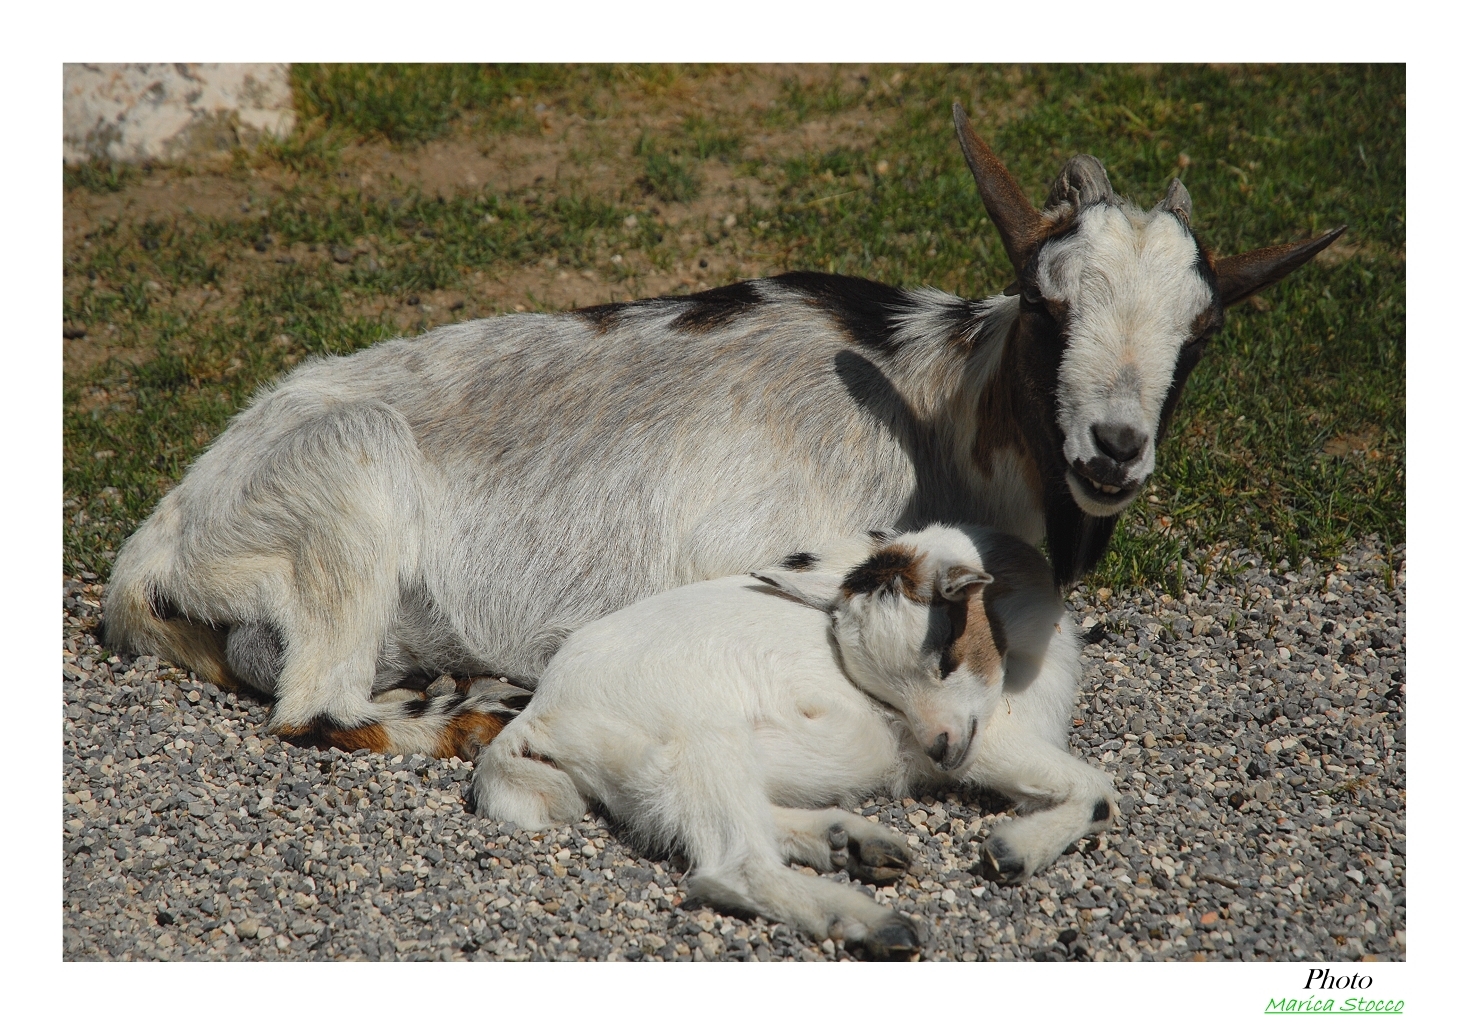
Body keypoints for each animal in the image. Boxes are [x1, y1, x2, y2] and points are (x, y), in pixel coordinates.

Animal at [100, 105, 1344, 756]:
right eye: (1048, 307)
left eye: (1201, 329)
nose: (1112, 450)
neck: (937, 412)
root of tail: (155, 548)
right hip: (350, 490)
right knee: (314, 706)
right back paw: (472, 713)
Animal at [469, 525, 1109, 956]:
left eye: (946, 657)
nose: (941, 750)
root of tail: (536, 718)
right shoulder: (987, 739)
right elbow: (1101, 790)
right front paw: (1015, 851)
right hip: (709, 739)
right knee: (732, 865)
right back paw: (871, 921)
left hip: (670, 770)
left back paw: (852, 843)